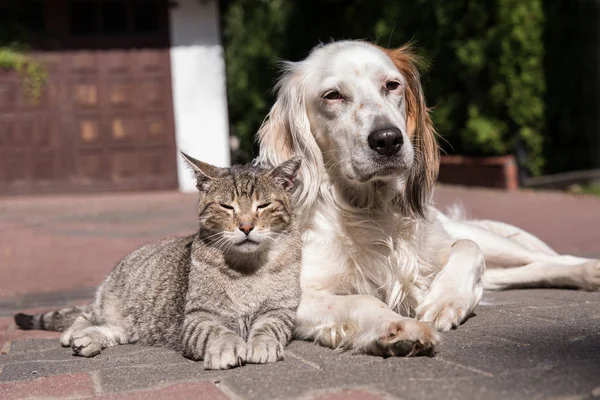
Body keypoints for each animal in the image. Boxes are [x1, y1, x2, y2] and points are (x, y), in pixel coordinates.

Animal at [12, 152, 304, 368]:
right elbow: (219, 332)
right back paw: (74, 333)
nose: (246, 227)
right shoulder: (198, 317)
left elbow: (268, 328)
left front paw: (262, 345)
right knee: (86, 313)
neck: (247, 268)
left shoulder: (280, 311)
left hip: (136, 325)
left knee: (114, 330)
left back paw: (89, 340)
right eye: (226, 206)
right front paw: (227, 348)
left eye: (263, 206)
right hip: (109, 300)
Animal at [254, 40, 600, 356]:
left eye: (392, 85)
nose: (388, 140)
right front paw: (398, 328)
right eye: (332, 95)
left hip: (485, 237)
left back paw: (590, 269)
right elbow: (361, 300)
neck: (371, 209)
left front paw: (446, 299)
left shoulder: (440, 247)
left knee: (544, 258)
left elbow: (467, 250)